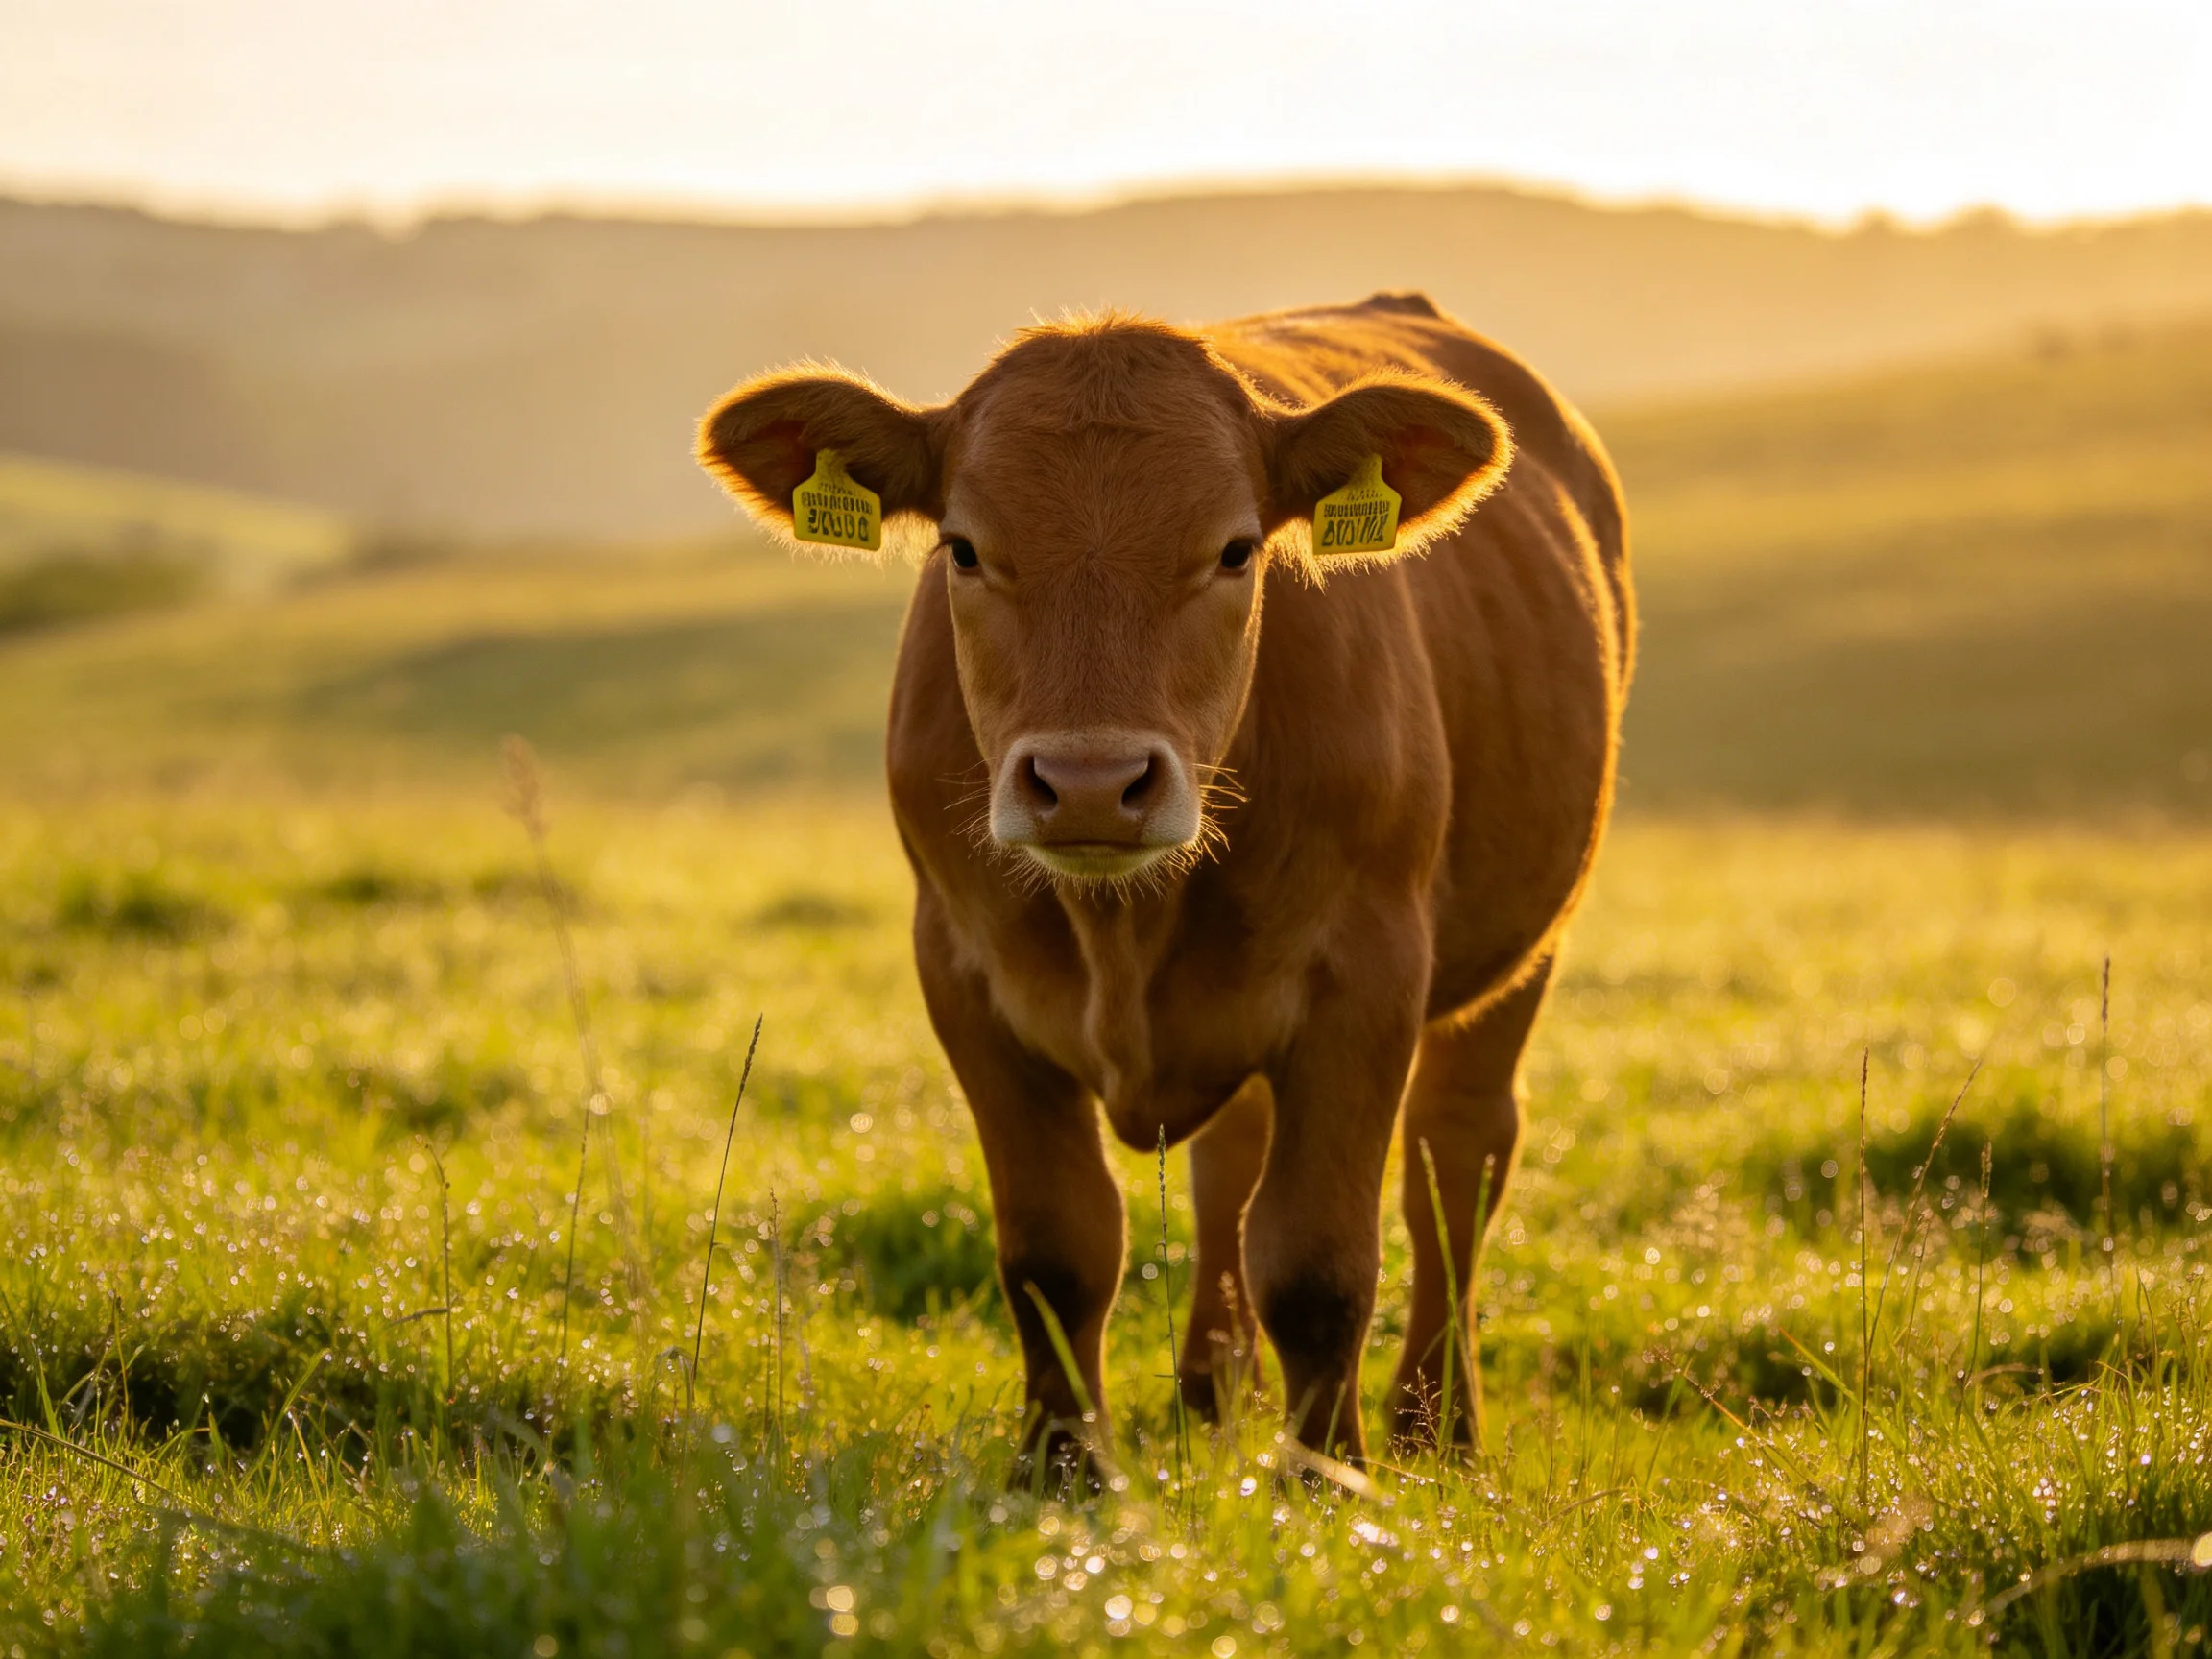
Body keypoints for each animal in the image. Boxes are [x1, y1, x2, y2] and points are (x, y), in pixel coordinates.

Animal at [697, 293, 1632, 1474]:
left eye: (1235, 550)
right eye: (964, 548)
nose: (1091, 784)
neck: (1122, 927)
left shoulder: (1368, 977)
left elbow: (1320, 1262)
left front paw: (1325, 1477)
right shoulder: (962, 973)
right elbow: (1057, 1249)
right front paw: (1060, 1473)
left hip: (1528, 944)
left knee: (1454, 1159)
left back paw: (1436, 1426)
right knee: (1235, 1164)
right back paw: (1209, 1391)